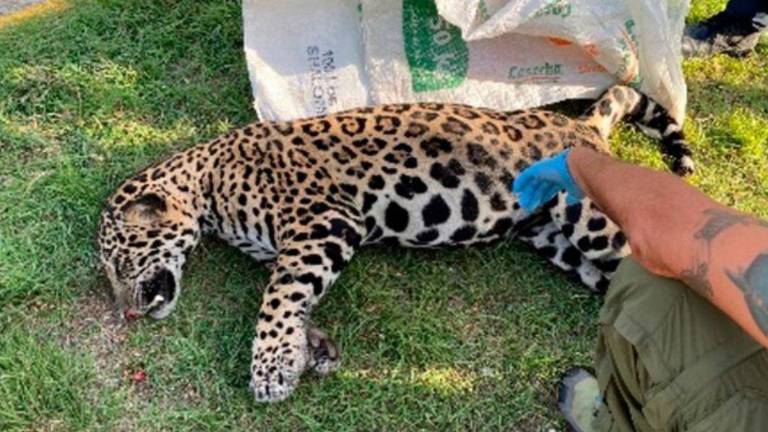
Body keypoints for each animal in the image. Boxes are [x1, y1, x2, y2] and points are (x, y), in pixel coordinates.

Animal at [97, 85, 694, 402]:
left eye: (120, 264)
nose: (126, 312)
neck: (206, 186)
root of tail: (583, 124)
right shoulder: (292, 251)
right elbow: (292, 298)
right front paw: (311, 349)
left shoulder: (323, 224)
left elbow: (276, 300)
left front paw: (270, 370)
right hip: (563, 243)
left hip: (593, 219)